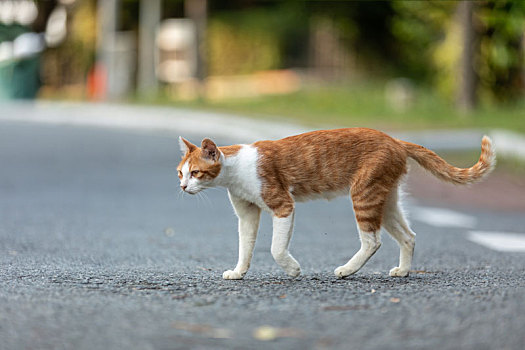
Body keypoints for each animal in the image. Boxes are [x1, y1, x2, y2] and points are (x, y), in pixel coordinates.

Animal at [177, 129, 496, 278]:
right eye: (180, 173)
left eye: (196, 173)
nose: (182, 187)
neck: (236, 170)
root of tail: (395, 139)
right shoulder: (247, 215)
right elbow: (245, 247)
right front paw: (239, 272)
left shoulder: (283, 205)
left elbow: (276, 248)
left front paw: (293, 270)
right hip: (385, 199)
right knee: (408, 236)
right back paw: (403, 271)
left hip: (364, 195)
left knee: (372, 240)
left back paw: (347, 270)